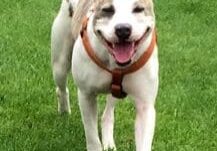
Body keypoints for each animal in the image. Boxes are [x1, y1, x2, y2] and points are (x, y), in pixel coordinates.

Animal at [51, 0, 159, 151]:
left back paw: (108, 142)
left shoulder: (145, 106)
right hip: (60, 64)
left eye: (138, 9)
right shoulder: (86, 95)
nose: (123, 29)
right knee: (61, 88)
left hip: (115, 91)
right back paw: (64, 110)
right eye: (107, 10)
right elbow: (92, 136)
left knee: (108, 113)